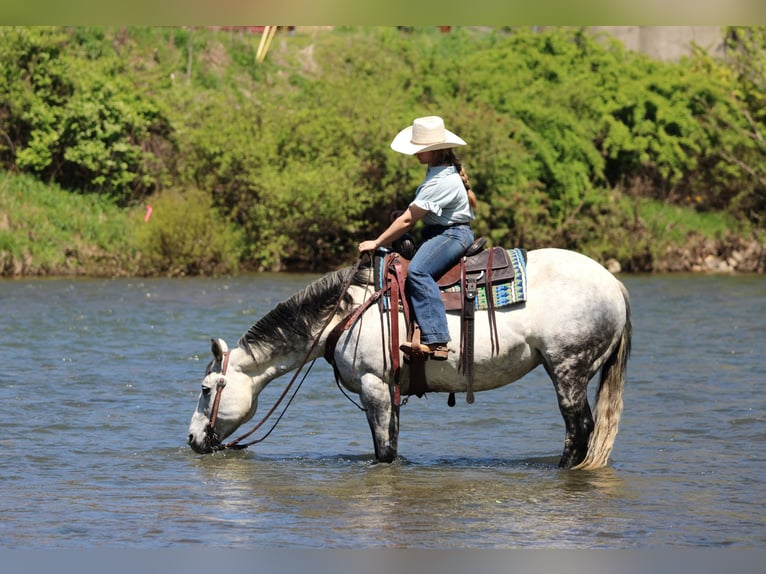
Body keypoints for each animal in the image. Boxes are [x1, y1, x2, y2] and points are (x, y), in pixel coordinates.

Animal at [187, 247, 631, 470]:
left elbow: (383, 451)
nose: (192, 439)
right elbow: (393, 444)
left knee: (579, 428)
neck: (349, 310)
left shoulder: (373, 385)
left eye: (207, 389)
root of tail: (614, 284)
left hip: (567, 369)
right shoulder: (391, 389)